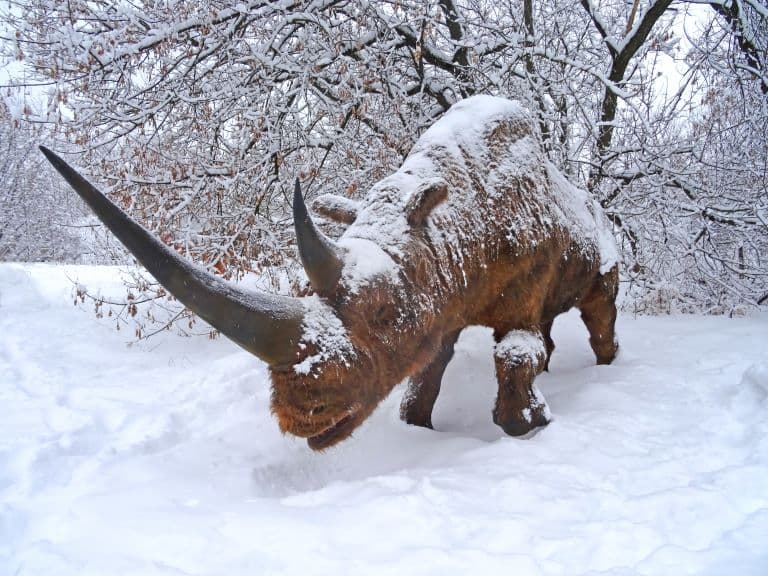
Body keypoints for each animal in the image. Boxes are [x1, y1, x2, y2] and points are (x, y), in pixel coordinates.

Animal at [41, 95, 619, 450]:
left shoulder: (508, 285)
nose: (297, 415)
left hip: (600, 235)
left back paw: (608, 367)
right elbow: (427, 367)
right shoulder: (443, 298)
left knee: (598, 303)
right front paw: (416, 426)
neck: (449, 224)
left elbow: (514, 353)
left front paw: (530, 424)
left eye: (385, 313)